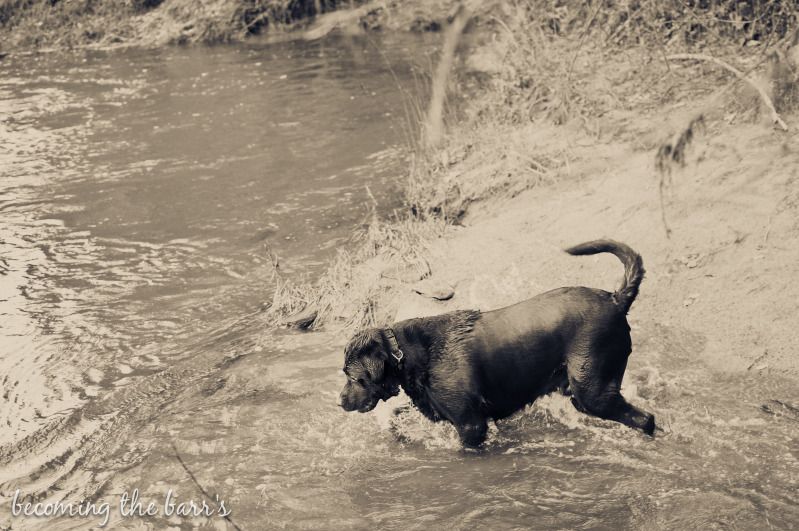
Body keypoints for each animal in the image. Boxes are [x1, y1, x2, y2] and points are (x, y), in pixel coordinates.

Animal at [338, 241, 656, 448]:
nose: (339, 401)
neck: (407, 352)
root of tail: (615, 299)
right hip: (583, 392)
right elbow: (395, 414)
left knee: (646, 419)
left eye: (353, 377)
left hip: (592, 390)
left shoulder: (470, 424)